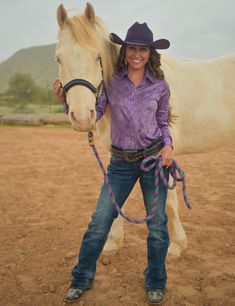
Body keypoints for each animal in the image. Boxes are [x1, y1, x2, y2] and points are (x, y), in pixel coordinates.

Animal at [55, 2, 235, 256]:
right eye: (59, 59)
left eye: (97, 57)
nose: (82, 117)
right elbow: (115, 196)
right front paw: (112, 243)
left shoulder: (165, 156)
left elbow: (169, 202)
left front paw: (176, 246)